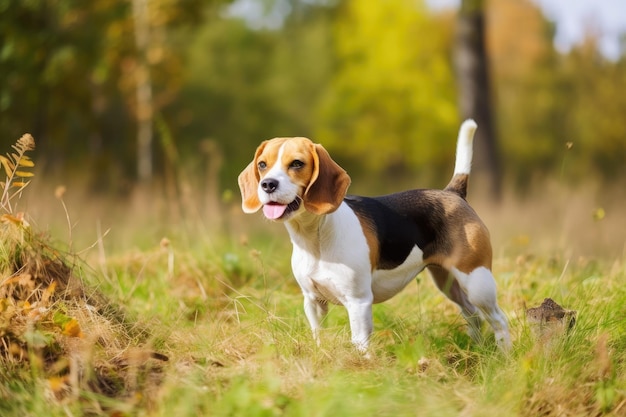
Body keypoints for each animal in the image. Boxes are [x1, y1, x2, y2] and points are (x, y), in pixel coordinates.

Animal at [236, 120, 510, 352]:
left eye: (296, 163)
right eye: (262, 165)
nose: (267, 184)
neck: (316, 237)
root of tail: (452, 193)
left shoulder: (358, 302)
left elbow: (359, 343)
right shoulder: (313, 301)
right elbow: (318, 335)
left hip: (477, 281)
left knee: (499, 319)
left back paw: (503, 356)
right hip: (448, 282)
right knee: (473, 315)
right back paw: (476, 350)